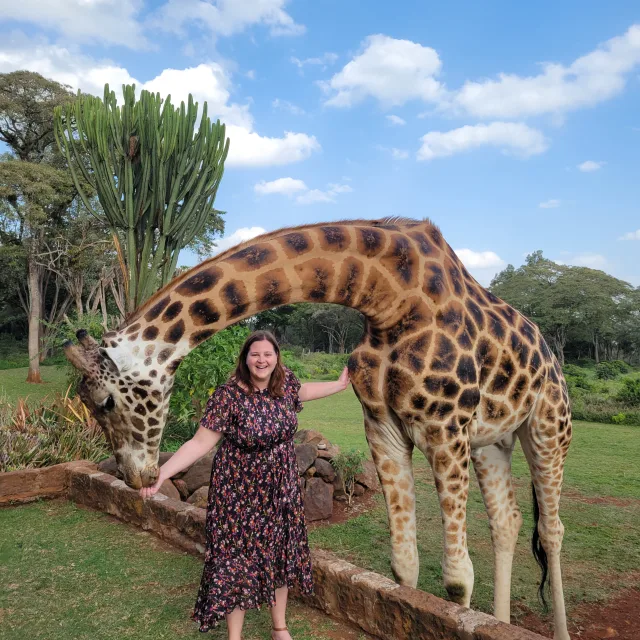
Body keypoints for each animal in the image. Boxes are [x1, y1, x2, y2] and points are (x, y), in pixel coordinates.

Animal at [65, 216, 572, 640]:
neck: (389, 299)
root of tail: (551, 355)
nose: (139, 478)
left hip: (548, 428)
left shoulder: (445, 429)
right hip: (492, 441)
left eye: (105, 402)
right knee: (507, 521)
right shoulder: (384, 429)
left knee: (551, 529)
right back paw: (500, 621)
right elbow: (403, 566)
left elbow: (456, 579)